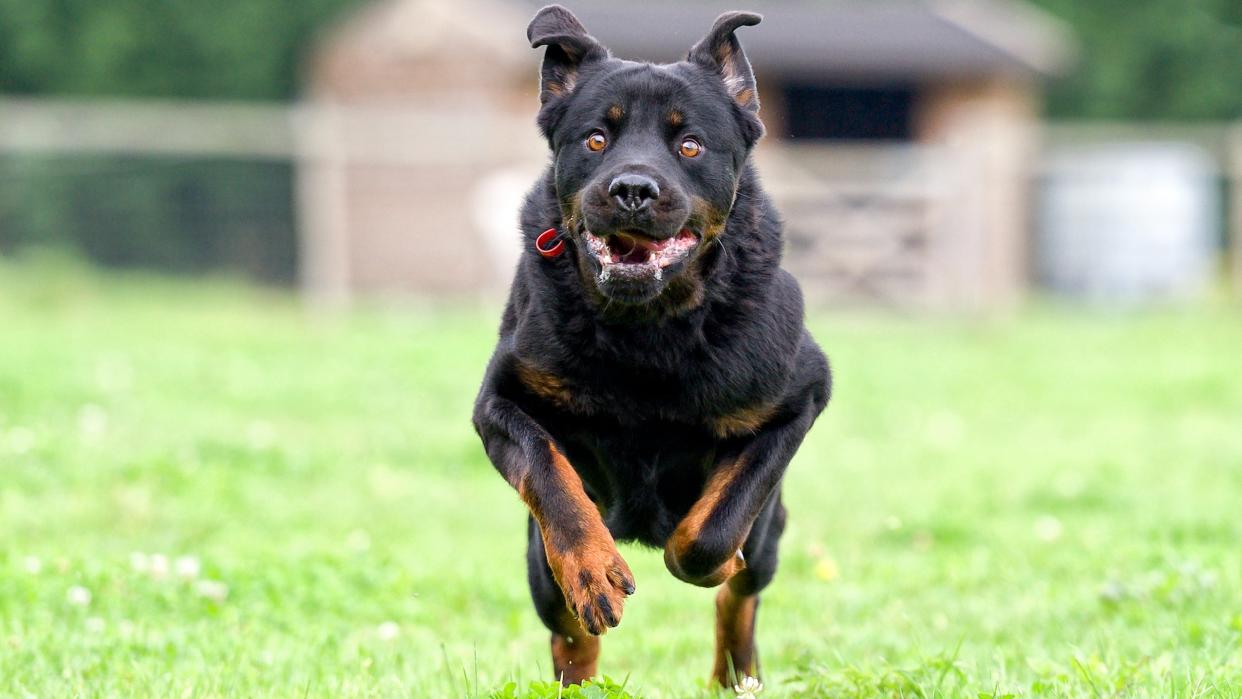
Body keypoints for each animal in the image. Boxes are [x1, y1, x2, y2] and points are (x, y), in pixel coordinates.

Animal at [474, 4, 834, 690]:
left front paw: (709, 558)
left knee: (743, 591)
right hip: (535, 560)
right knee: (566, 625)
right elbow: (550, 475)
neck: (648, 326)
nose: (632, 189)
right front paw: (593, 570)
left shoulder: (799, 399)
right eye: (595, 139)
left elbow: (710, 536)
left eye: (689, 145)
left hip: (771, 533)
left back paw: (736, 676)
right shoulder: (501, 401)